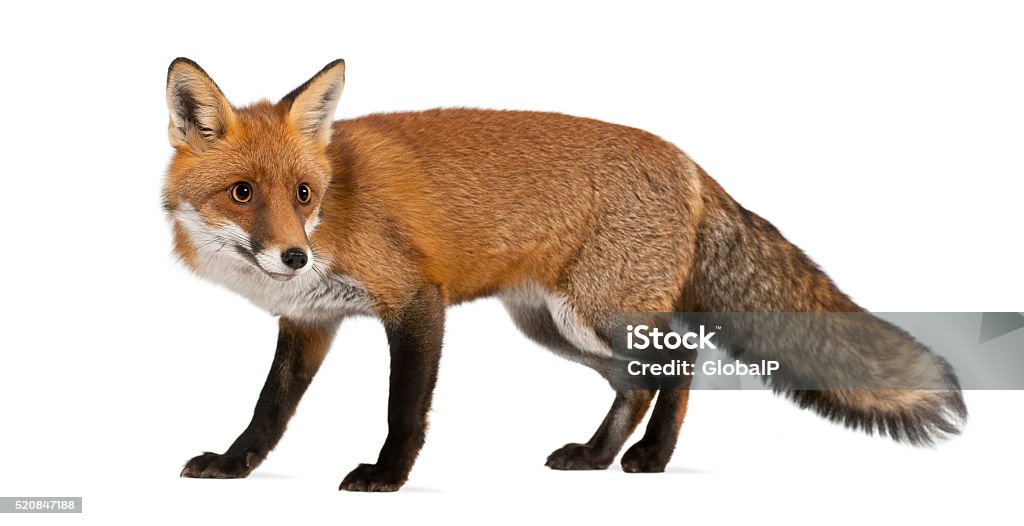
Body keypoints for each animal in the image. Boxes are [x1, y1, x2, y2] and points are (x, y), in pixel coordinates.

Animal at [163, 59, 962, 489]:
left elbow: (403, 411)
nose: (293, 256)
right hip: (554, 326)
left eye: (303, 194)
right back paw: (600, 455)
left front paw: (387, 477)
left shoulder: (416, 301)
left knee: (683, 359)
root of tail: (686, 160)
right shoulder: (310, 321)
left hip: (601, 312)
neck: (336, 209)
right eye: (242, 193)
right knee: (638, 381)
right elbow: (269, 409)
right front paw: (235, 465)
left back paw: (651, 458)